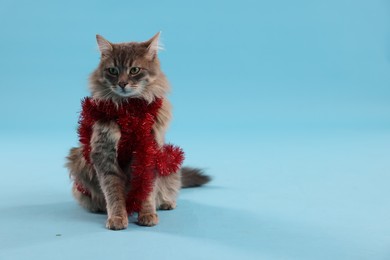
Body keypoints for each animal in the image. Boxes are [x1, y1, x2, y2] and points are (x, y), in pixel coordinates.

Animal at [66, 32, 210, 230]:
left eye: (134, 70)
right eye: (113, 70)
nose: (122, 83)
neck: (129, 112)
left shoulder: (148, 150)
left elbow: (146, 190)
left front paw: (147, 214)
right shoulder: (104, 153)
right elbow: (113, 192)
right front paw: (117, 217)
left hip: (170, 163)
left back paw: (166, 202)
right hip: (78, 160)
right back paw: (98, 207)